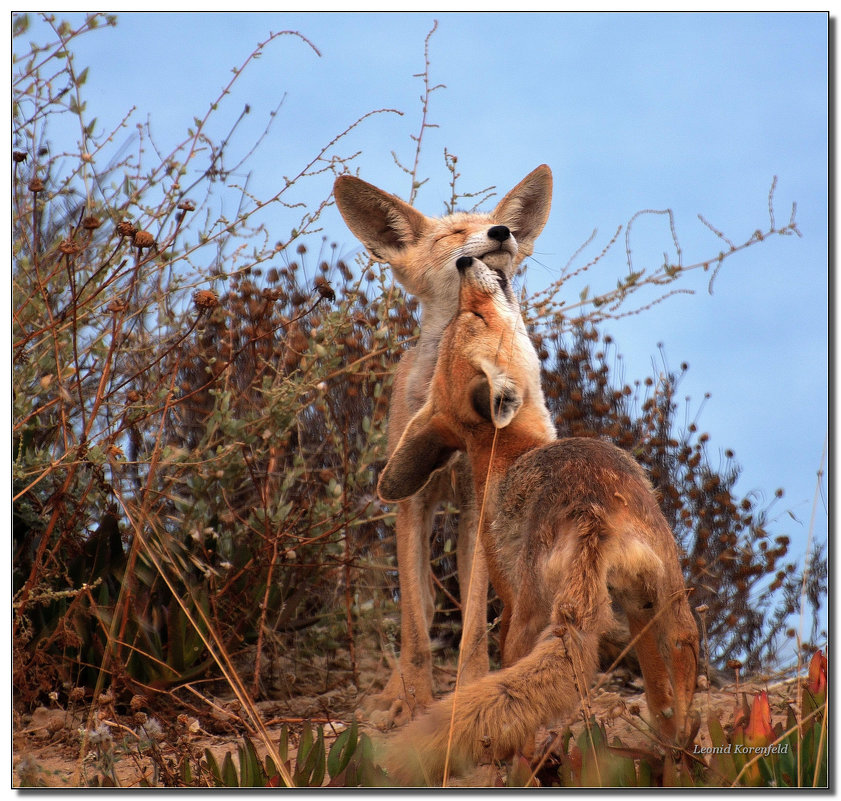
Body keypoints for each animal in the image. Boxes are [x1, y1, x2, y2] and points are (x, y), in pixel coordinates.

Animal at [332, 166, 556, 720]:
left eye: (497, 223)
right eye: (453, 235)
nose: (502, 232)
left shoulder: (478, 506)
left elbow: (472, 628)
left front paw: (469, 688)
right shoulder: (411, 502)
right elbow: (415, 627)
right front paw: (411, 700)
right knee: (424, 607)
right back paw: (393, 692)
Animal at [378, 256, 700, 780]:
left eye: (469, 319)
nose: (465, 261)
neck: (510, 455)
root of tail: (593, 515)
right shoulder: (516, 600)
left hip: (653, 608)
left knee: (672, 709)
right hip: (578, 614)